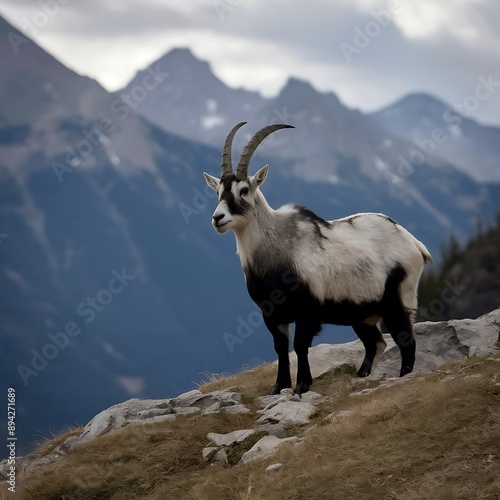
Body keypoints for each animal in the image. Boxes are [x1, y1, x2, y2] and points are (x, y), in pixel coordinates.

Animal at [204, 122, 434, 394]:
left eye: (244, 190)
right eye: (218, 191)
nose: (218, 218)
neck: (278, 247)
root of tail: (414, 244)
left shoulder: (307, 310)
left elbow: (300, 345)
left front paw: (302, 385)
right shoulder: (271, 313)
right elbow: (280, 348)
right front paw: (279, 387)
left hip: (397, 300)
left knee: (405, 339)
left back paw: (402, 377)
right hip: (363, 314)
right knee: (375, 343)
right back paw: (361, 375)